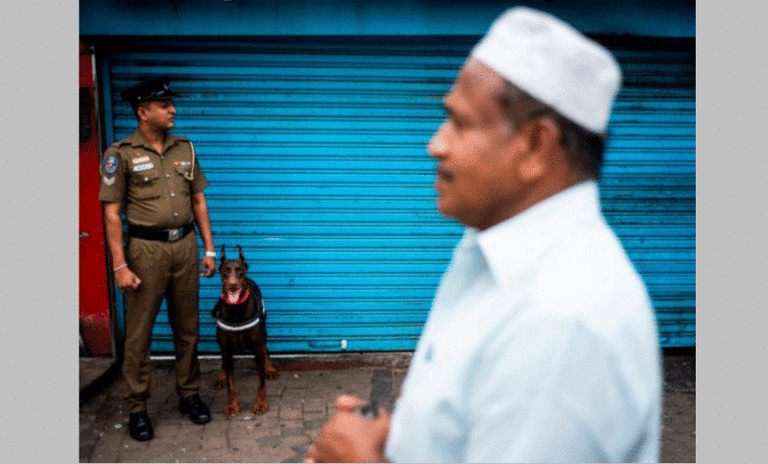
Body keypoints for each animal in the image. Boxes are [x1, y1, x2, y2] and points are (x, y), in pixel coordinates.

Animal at [210, 246, 280, 416]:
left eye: (240, 270)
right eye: (225, 269)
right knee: (223, 362)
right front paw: (232, 406)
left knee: (266, 349)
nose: (233, 285)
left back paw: (270, 368)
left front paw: (261, 404)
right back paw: (221, 377)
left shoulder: (257, 346)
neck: (236, 309)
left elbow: (260, 381)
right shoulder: (226, 348)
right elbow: (230, 383)